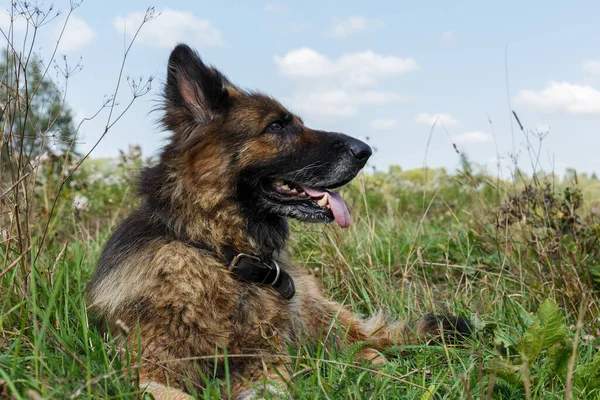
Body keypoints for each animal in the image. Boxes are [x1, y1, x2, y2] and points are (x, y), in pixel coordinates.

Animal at [88, 44, 474, 400]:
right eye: (276, 126)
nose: (364, 151)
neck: (222, 255)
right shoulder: (150, 368)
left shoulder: (267, 366)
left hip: (315, 314)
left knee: (360, 340)